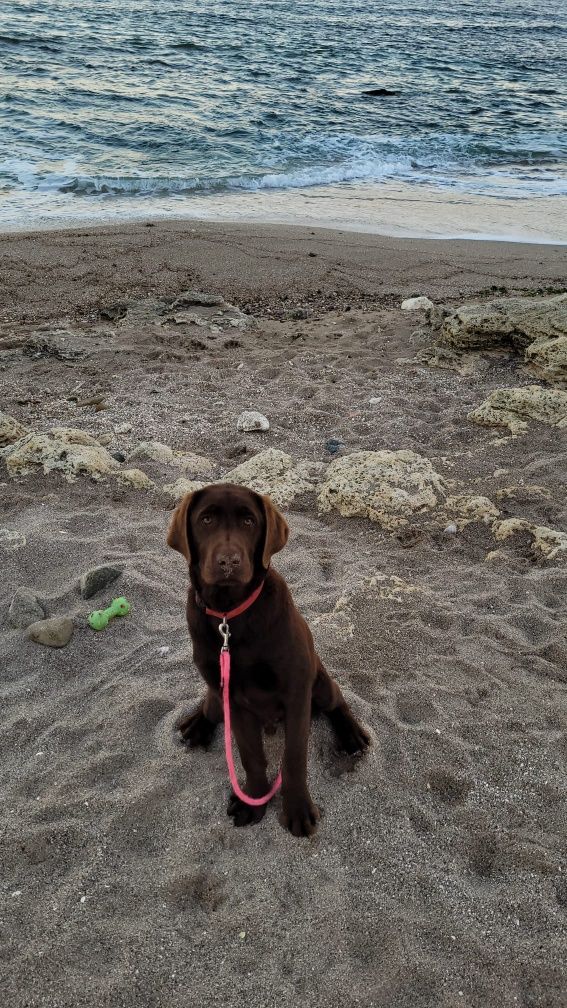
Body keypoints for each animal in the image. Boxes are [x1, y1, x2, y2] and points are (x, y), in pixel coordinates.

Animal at [166, 479, 371, 834]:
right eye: (206, 520)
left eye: (249, 521)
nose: (229, 562)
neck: (230, 615)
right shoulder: (234, 701)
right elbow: (251, 755)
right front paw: (254, 799)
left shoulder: (297, 694)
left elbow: (293, 758)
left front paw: (297, 808)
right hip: (218, 694)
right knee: (211, 706)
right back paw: (198, 724)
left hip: (319, 682)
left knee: (336, 699)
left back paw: (351, 734)